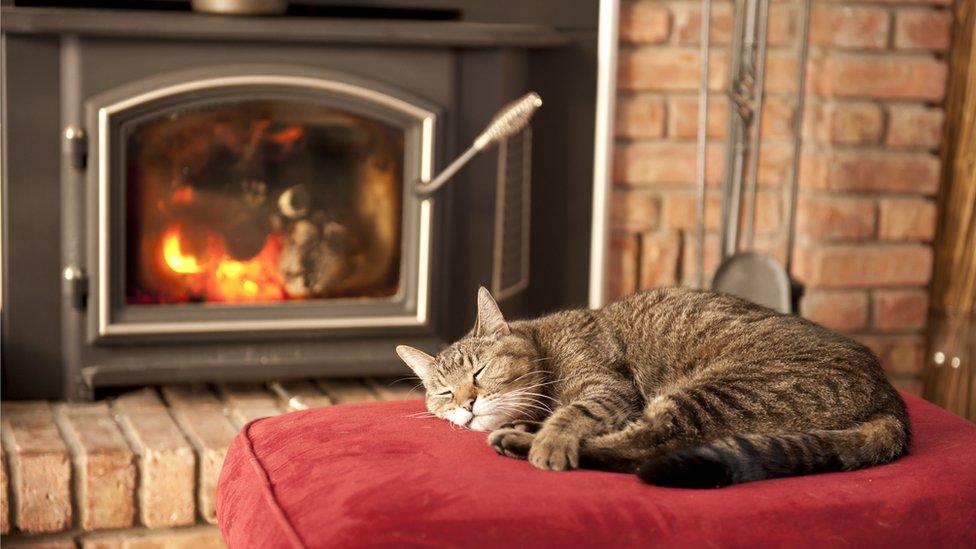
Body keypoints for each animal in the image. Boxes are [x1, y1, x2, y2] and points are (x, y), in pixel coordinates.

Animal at [392, 284, 912, 486]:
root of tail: (890, 396)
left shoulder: (607, 389)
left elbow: (572, 414)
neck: (544, 342)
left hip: (714, 391)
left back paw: (522, 442)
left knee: (642, 446)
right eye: (444, 393)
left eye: (479, 372)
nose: (466, 404)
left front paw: (549, 439)